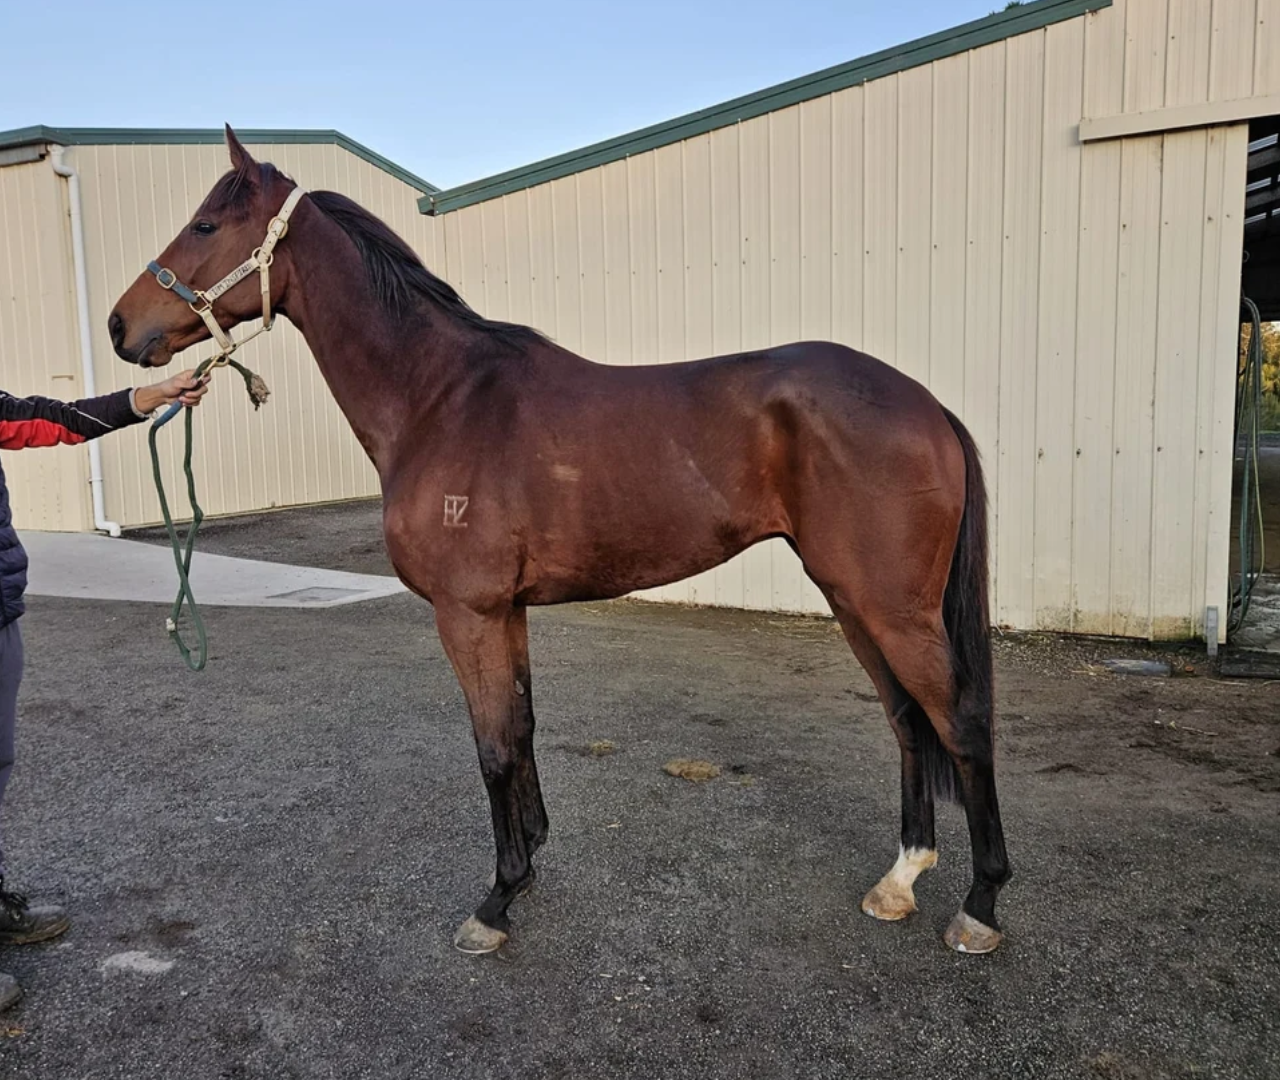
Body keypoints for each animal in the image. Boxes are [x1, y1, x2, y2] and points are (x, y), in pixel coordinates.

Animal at [108, 126, 1011, 957]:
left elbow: (492, 748)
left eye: (204, 224)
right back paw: (899, 881)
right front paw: (530, 861)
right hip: (852, 597)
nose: (121, 327)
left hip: (891, 606)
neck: (441, 397)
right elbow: (523, 729)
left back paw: (981, 905)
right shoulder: (503, 611)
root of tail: (924, 403)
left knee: (961, 723)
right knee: (907, 720)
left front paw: (496, 900)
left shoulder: (466, 613)